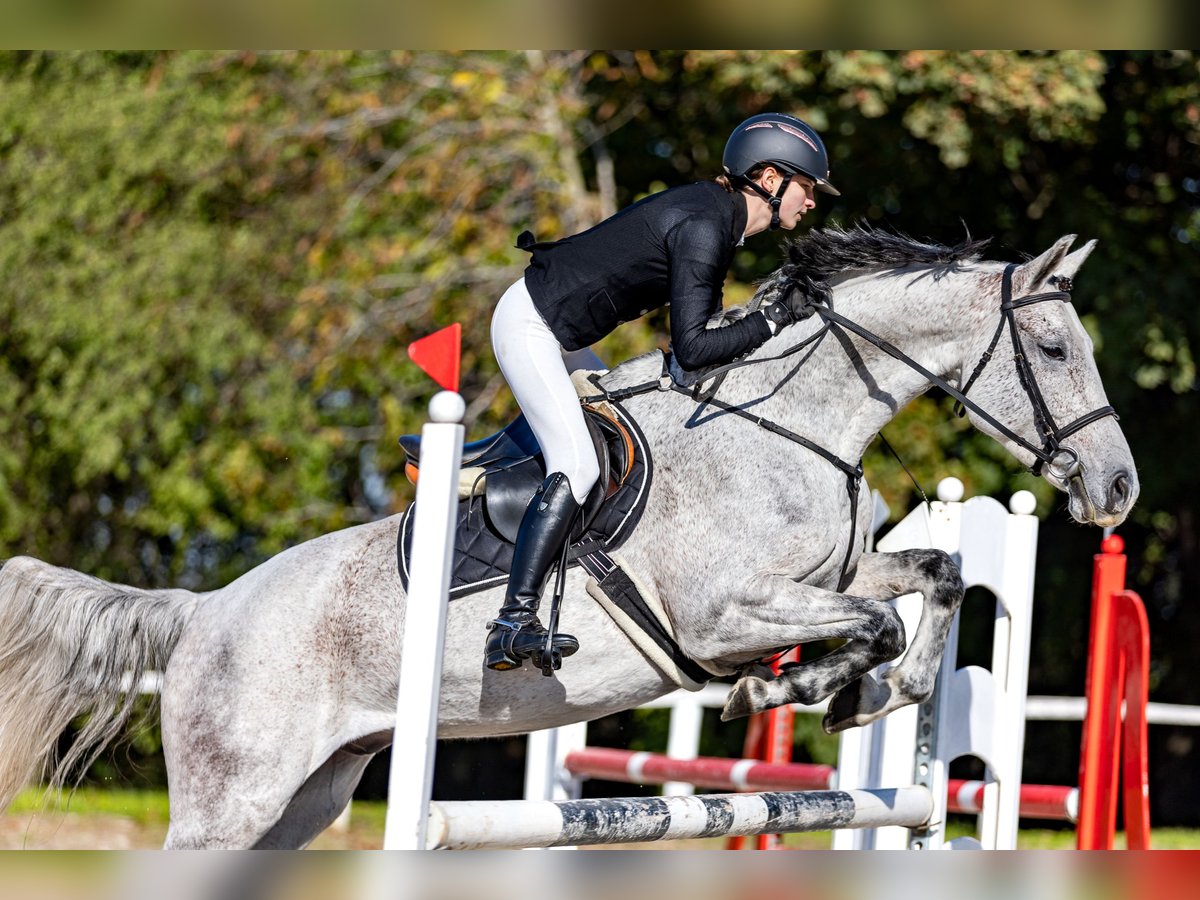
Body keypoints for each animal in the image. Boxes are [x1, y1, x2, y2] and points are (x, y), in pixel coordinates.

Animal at [0, 225, 1132, 844]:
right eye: (1050, 347)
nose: (1117, 488)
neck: (791, 422)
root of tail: (202, 612)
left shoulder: (843, 569)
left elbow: (932, 573)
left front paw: (868, 695)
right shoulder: (722, 618)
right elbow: (870, 624)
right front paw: (804, 690)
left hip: (305, 799)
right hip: (229, 802)